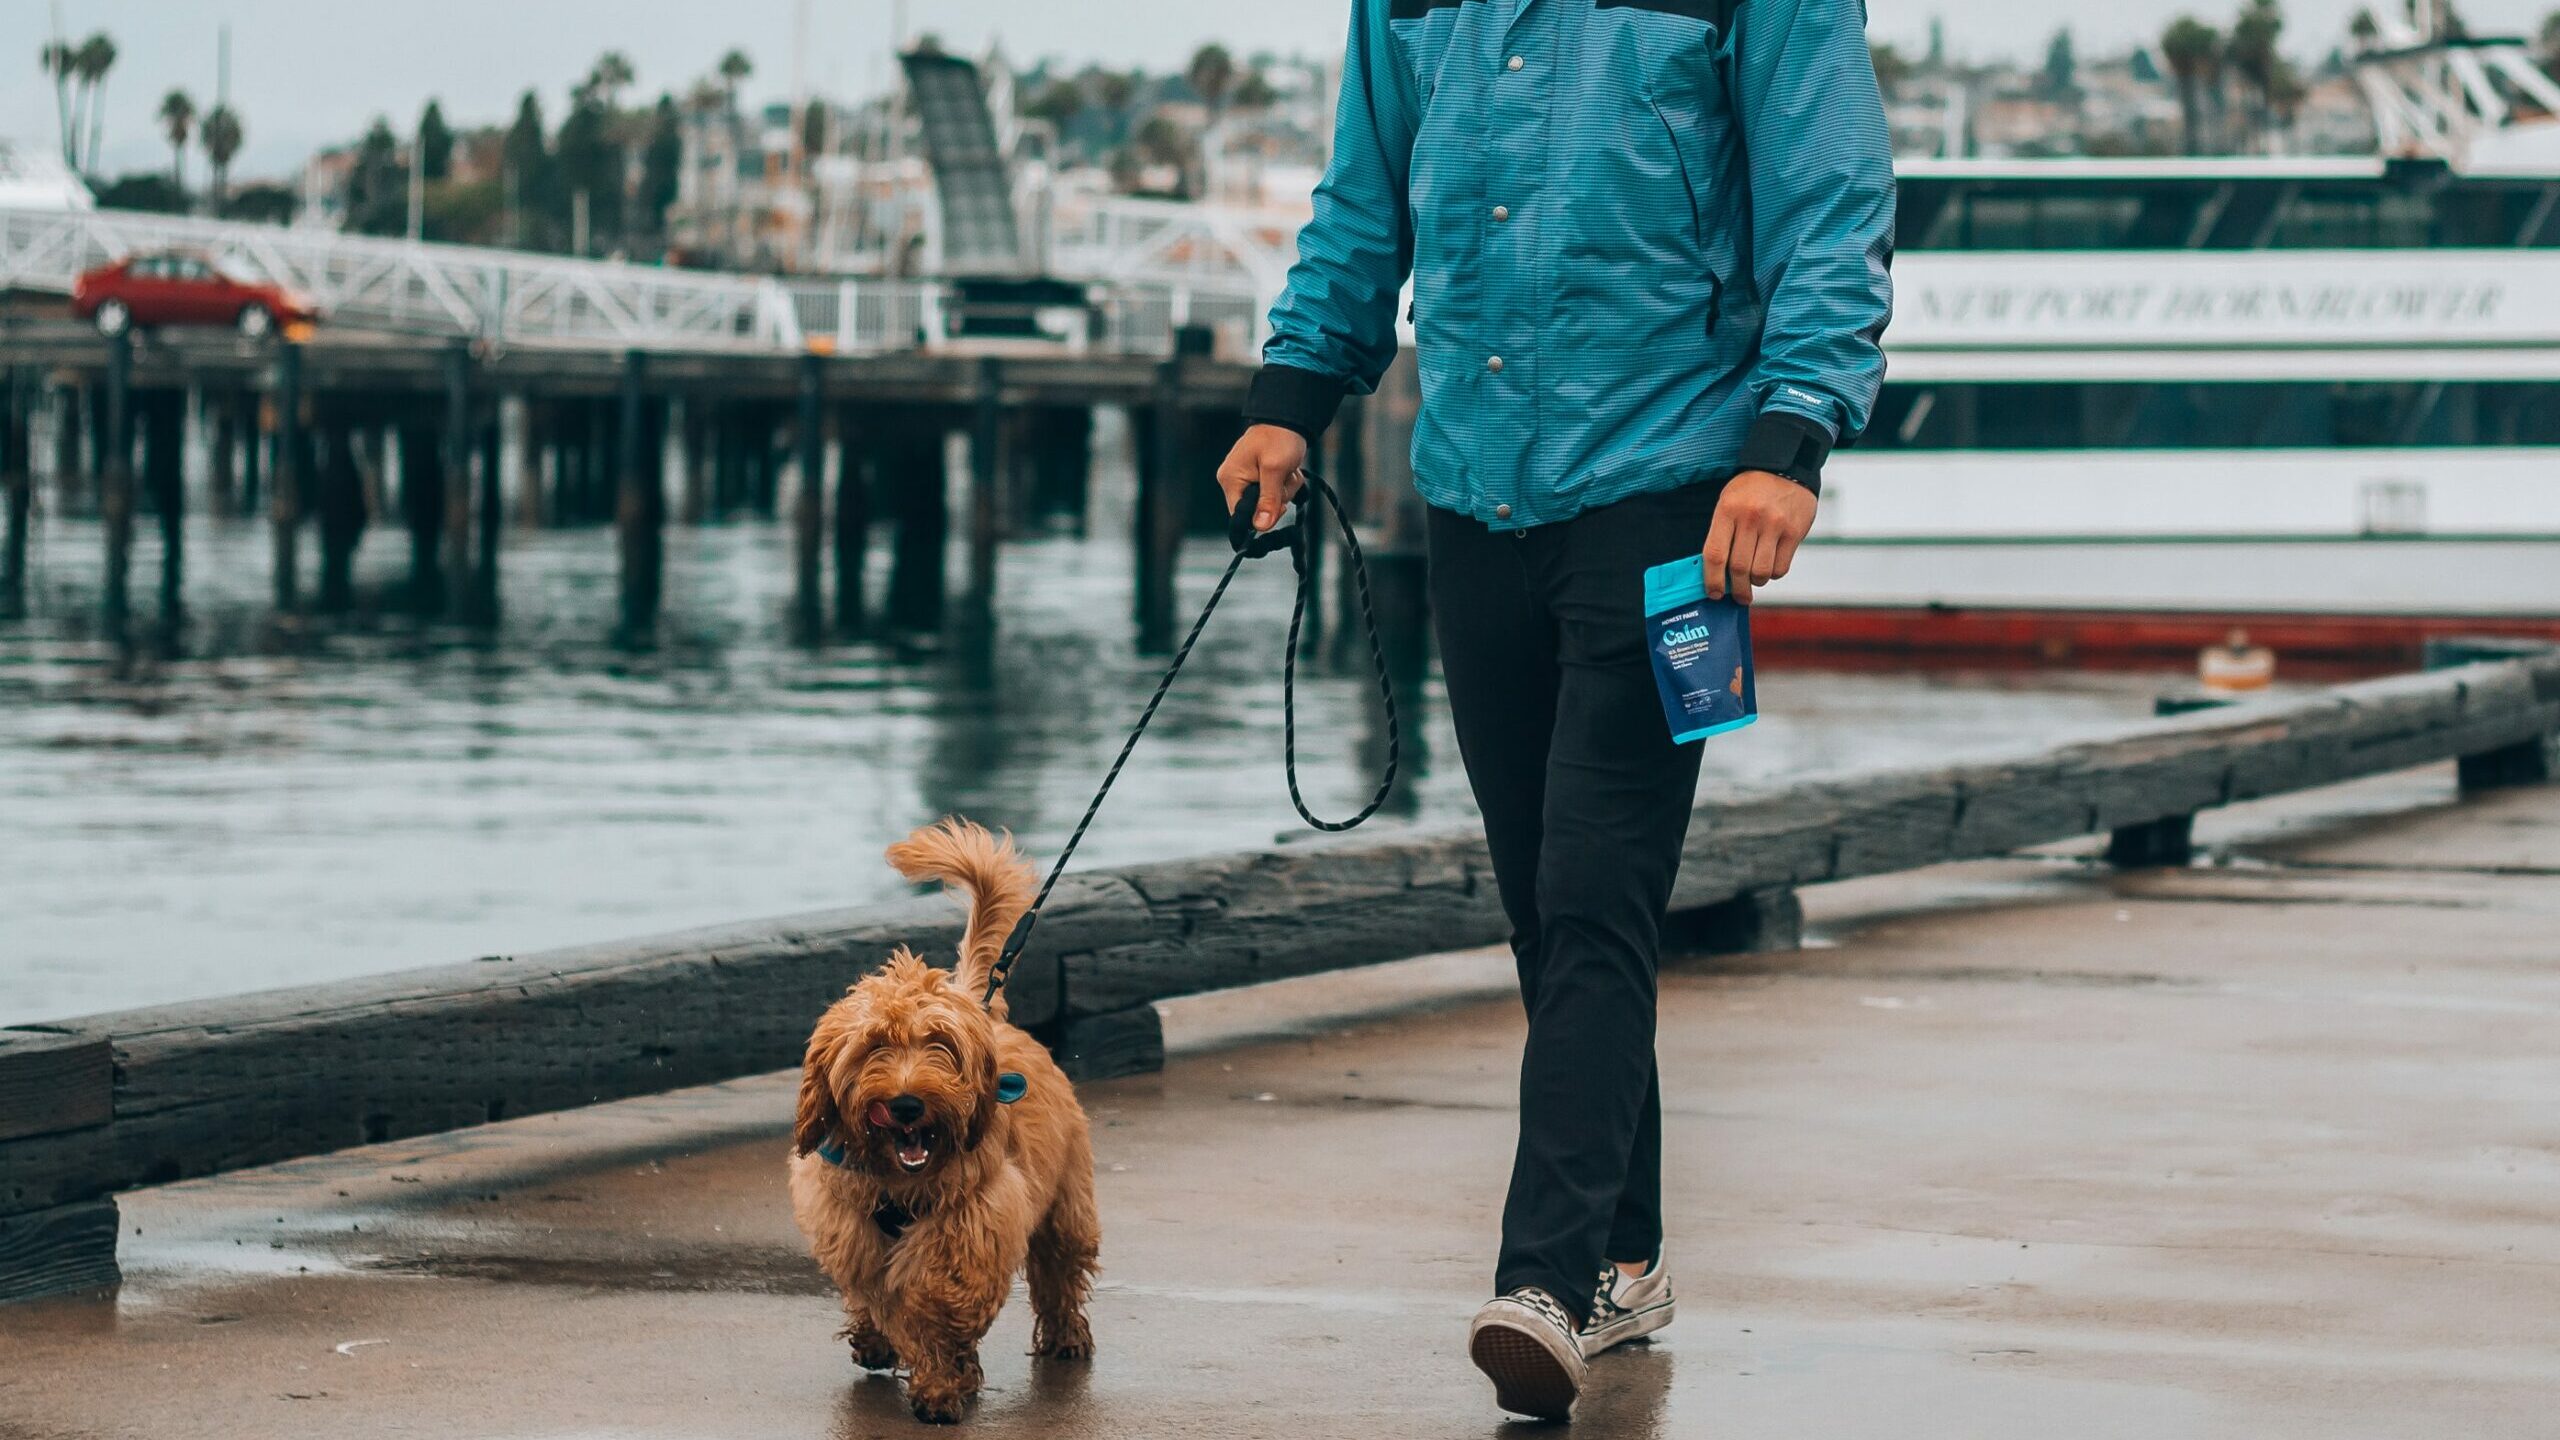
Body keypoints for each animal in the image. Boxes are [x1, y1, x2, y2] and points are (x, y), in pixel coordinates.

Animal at [783, 814, 1095, 1414]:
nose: (906, 1103)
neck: (899, 1182)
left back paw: (1066, 1337)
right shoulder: (849, 1224)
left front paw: (942, 1380)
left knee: (1061, 1271)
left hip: (1066, 1204)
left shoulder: (973, 1223)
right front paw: (900, 1353)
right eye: (874, 1046)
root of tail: (982, 1005)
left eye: (941, 1046)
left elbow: (935, 1302)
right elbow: (875, 1292)